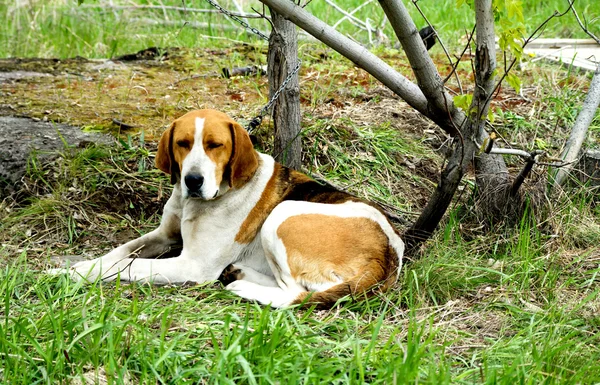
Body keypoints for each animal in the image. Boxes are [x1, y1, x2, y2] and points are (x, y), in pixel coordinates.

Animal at [68, 109, 406, 308]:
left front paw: (79, 272)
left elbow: (131, 265)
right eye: (182, 143)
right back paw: (240, 273)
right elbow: (121, 252)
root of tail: (388, 253)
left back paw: (244, 286)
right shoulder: (165, 235)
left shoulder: (193, 266)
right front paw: (79, 264)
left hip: (281, 215)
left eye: (215, 145)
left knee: (296, 293)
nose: (193, 180)